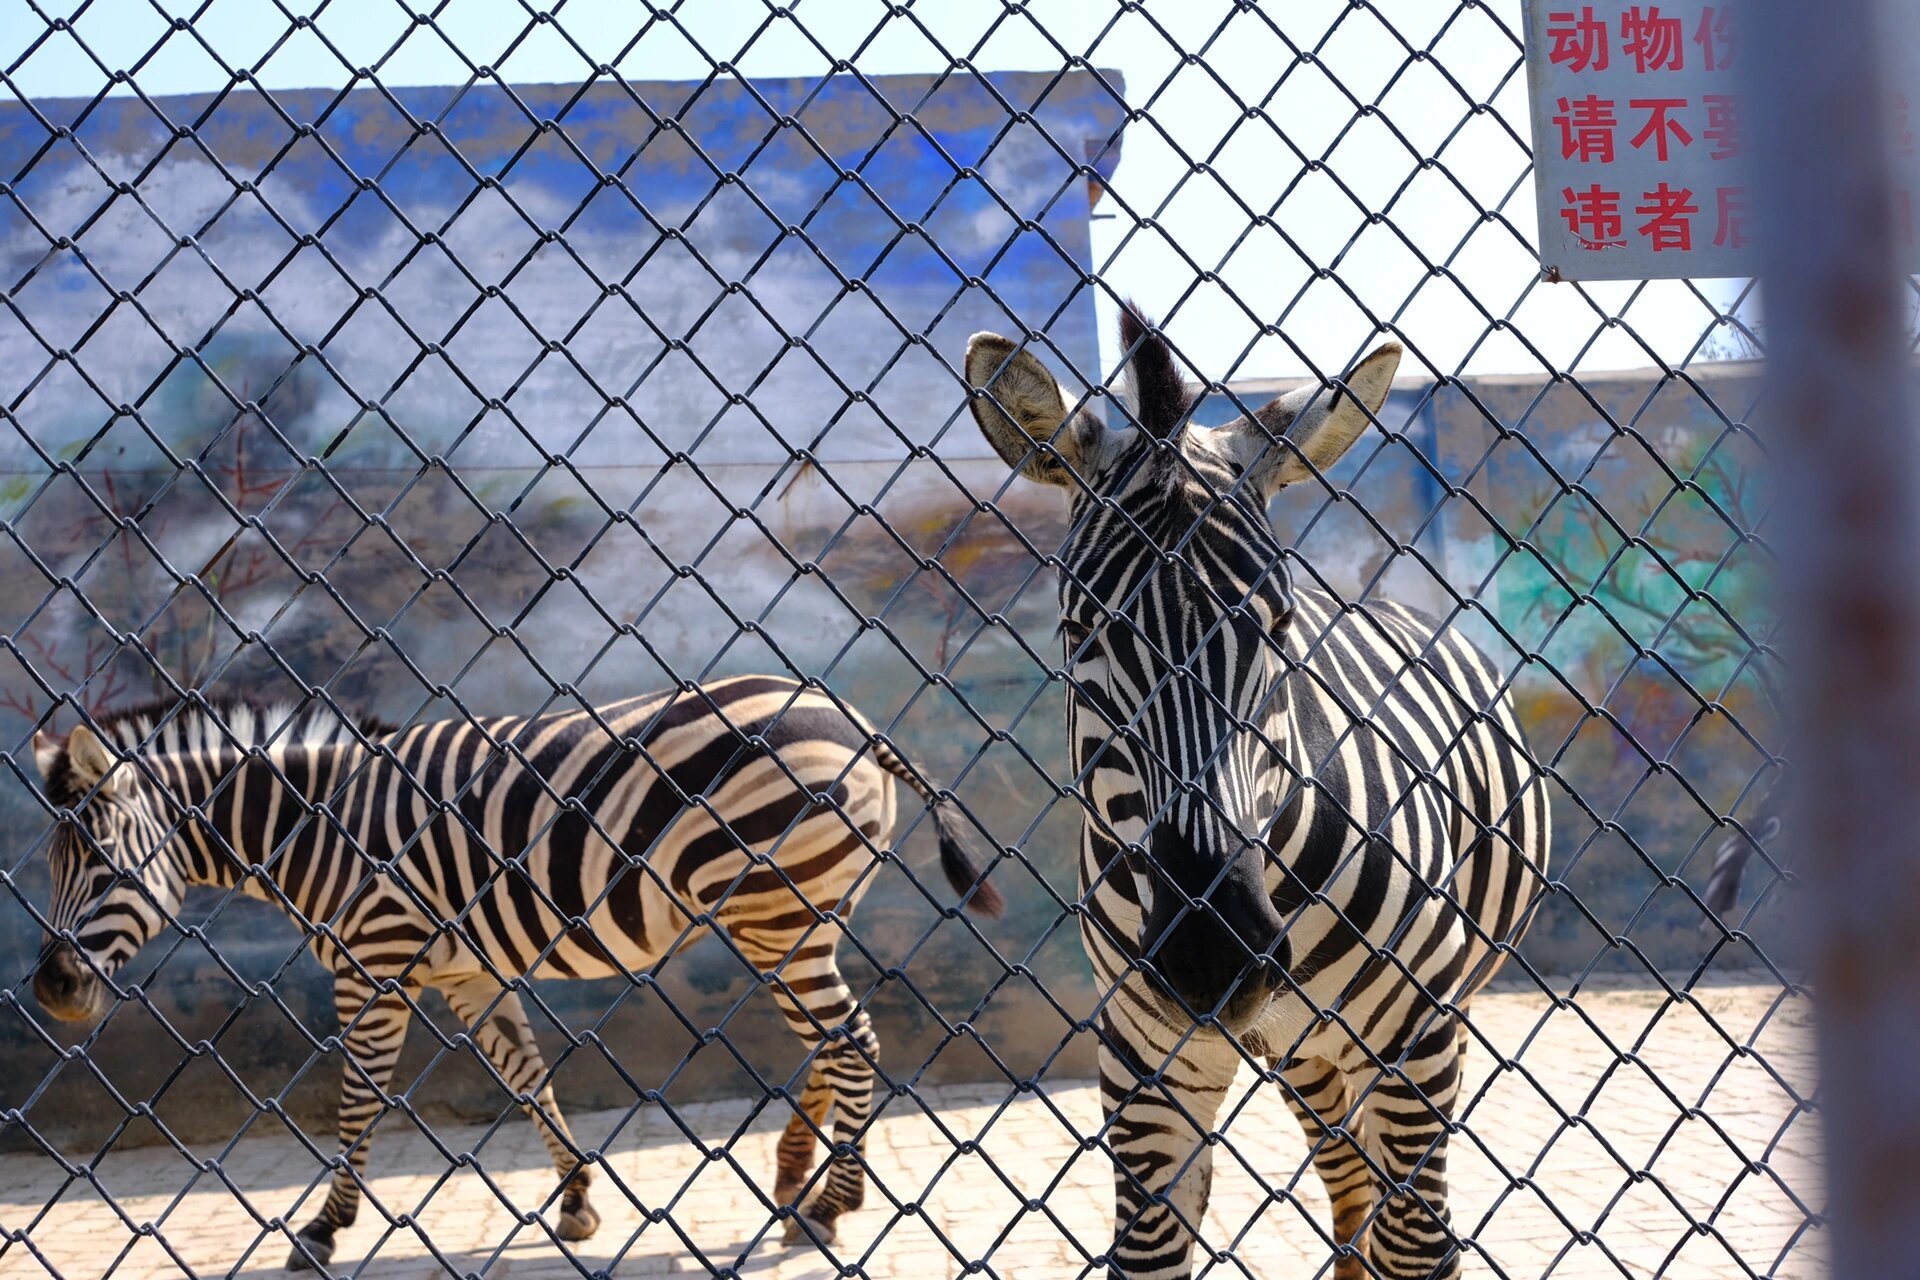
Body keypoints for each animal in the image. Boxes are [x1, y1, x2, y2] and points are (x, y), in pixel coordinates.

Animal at [30, 675, 1006, 1266]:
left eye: (102, 868)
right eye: (51, 865)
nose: (50, 990)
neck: (319, 829)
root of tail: (858, 723)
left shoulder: (373, 967)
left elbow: (357, 1100)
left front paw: (324, 1228)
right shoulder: (470, 976)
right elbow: (528, 1078)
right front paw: (576, 1200)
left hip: (778, 914)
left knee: (854, 1041)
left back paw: (833, 1202)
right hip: (792, 920)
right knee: (833, 1043)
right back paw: (794, 1173)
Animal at [967, 312, 1551, 1280]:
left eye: (1277, 626)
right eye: (1082, 629)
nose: (1214, 954)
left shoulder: (1417, 1040)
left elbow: (1418, 1245)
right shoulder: (1147, 1059)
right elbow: (1151, 1250)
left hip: (1426, 1020)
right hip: (1301, 1051)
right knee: (1347, 1181)